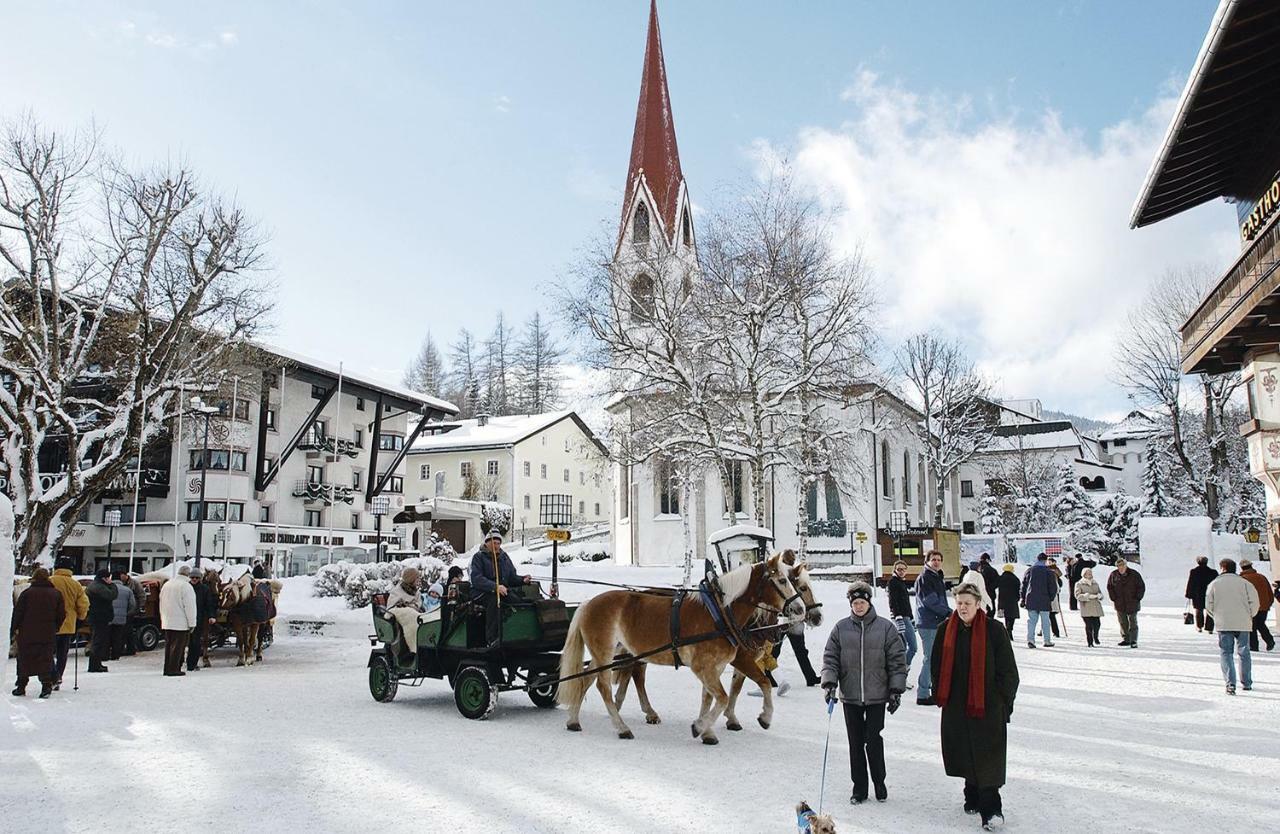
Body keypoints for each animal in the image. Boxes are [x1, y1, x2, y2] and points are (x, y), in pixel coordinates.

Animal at [558, 552, 798, 741]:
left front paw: (707, 731)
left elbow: (710, 698)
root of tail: (587, 604)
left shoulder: (715, 667)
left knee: (587, 678)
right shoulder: (704, 667)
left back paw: (573, 720)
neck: (719, 614)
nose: (798, 608)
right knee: (603, 687)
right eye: (782, 580)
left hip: (609, 654)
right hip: (605, 653)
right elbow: (725, 696)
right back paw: (621, 727)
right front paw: (701, 726)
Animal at [614, 550, 824, 731]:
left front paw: (721, 719)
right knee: (636, 674)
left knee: (631, 671)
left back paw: (627, 704)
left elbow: (733, 688)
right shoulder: (741, 658)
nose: (815, 616)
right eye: (801, 587)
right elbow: (758, 682)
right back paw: (635, 708)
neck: (726, 613)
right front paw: (747, 717)